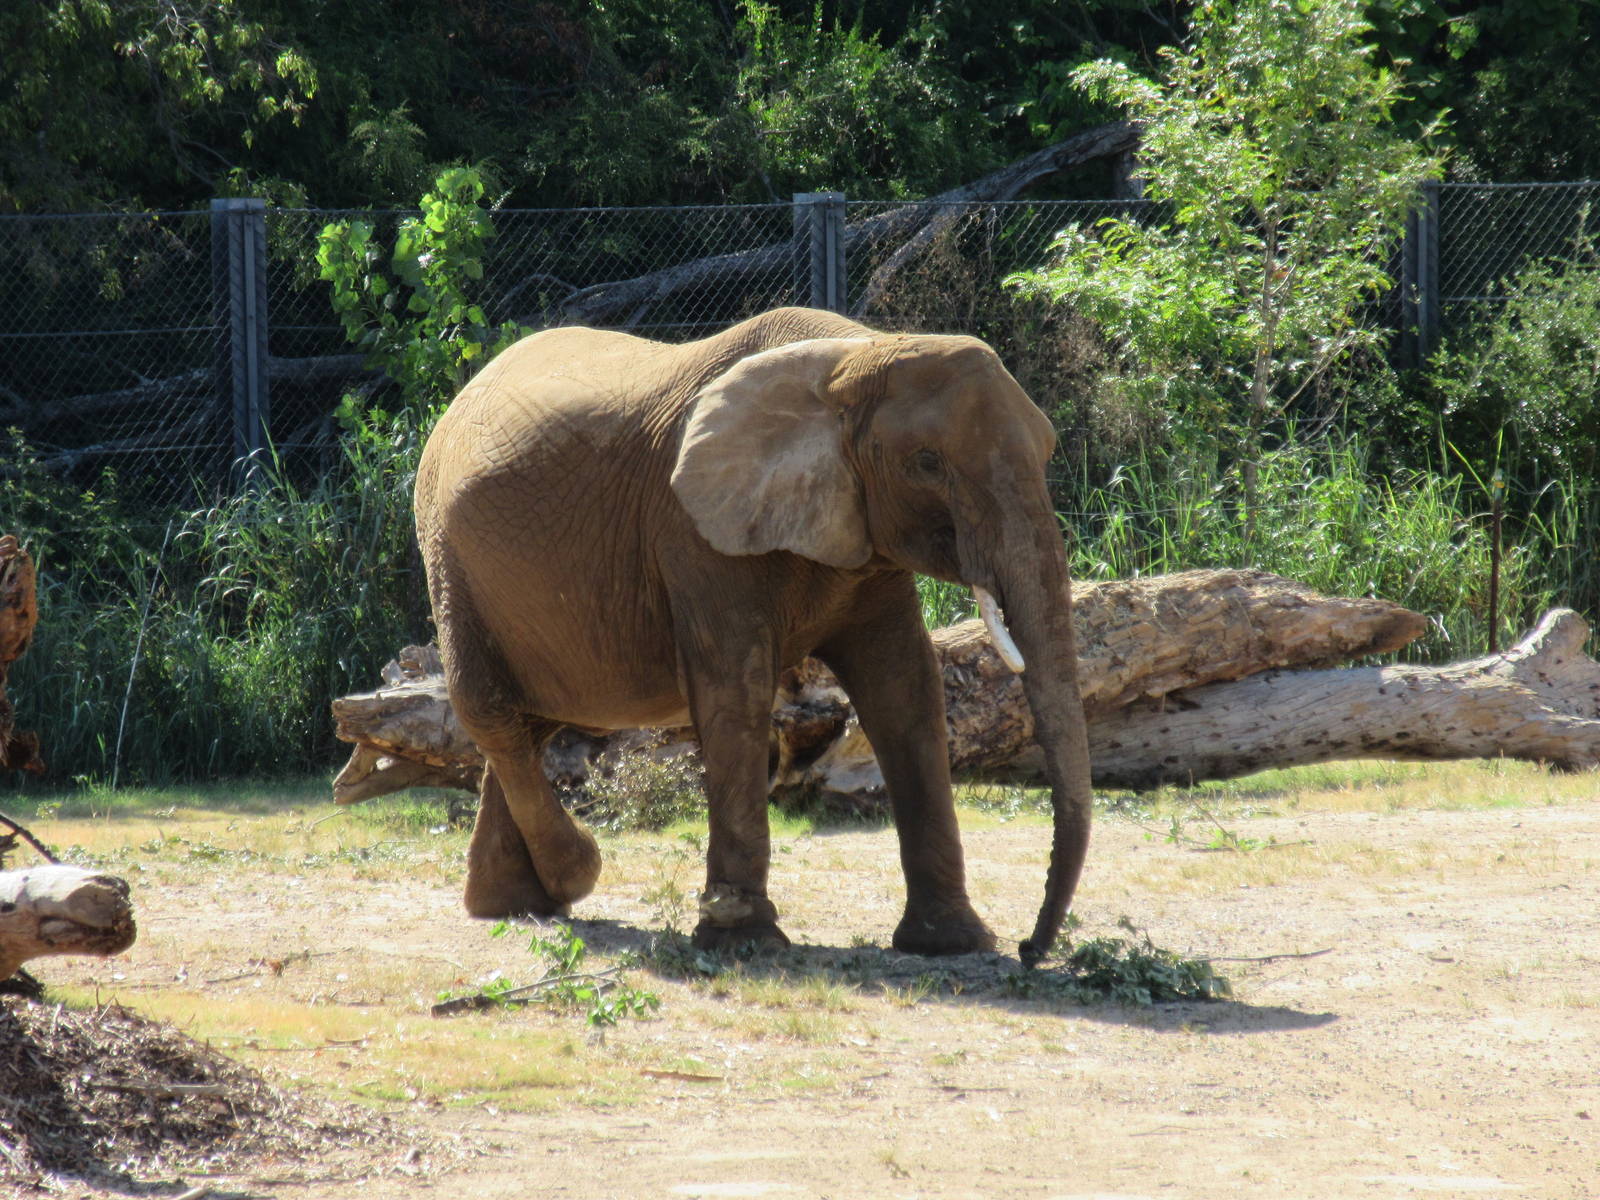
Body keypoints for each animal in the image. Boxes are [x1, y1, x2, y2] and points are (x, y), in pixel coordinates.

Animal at [413, 306, 1094, 965]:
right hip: (449, 556)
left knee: (533, 722)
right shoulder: (694, 532)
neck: (856, 355)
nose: (1032, 950)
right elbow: (735, 690)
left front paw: (952, 942)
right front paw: (744, 940)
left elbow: (905, 687)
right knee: (493, 715)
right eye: (927, 463)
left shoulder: (864, 536)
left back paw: (514, 903)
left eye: (1048, 451)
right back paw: (572, 874)